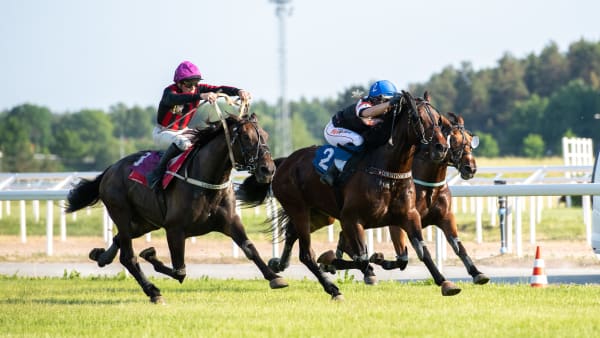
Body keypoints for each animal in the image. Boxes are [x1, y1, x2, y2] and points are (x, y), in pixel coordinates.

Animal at [65, 111, 288, 304]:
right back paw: (152, 291)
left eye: (265, 135)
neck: (206, 181)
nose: (268, 170)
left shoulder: (230, 221)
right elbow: (179, 271)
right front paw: (151, 254)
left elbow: (249, 248)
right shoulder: (175, 229)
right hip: (122, 213)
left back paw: (102, 255)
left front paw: (274, 276)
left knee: (119, 240)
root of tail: (110, 169)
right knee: (128, 256)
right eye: (246, 137)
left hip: (144, 222)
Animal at [239, 91, 450, 300]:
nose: (441, 147)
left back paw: (279, 264)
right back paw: (332, 288)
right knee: (306, 254)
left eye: (439, 119)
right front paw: (331, 261)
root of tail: (283, 163)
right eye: (417, 118)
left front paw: (445, 282)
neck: (388, 171)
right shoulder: (351, 218)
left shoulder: (408, 215)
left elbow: (418, 252)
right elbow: (361, 258)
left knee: (292, 233)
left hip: (320, 215)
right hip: (298, 208)